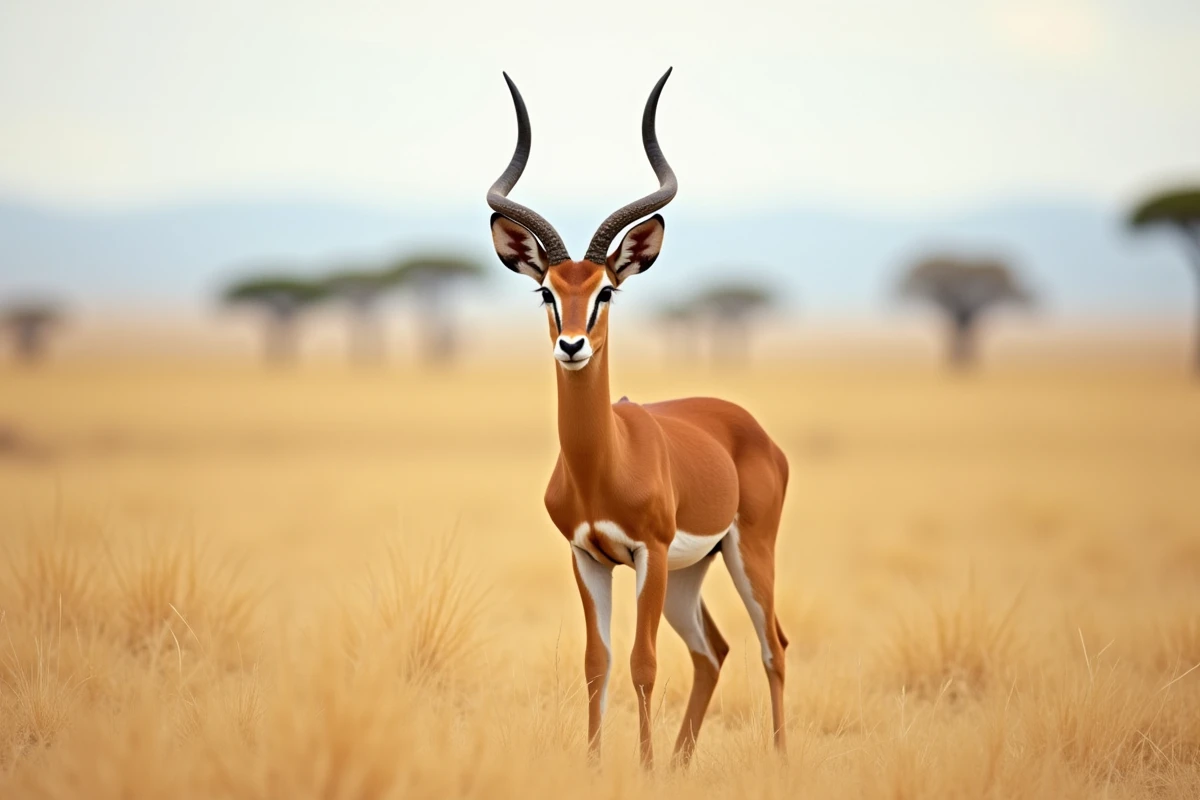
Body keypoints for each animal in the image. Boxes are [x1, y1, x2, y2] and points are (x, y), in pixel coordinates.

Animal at [487, 69, 790, 767]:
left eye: (606, 290)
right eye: (546, 291)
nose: (572, 346)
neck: (605, 463)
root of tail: (750, 427)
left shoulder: (646, 553)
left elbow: (642, 664)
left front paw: (643, 771)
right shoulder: (588, 556)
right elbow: (597, 663)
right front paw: (598, 766)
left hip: (746, 554)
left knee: (771, 647)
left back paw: (777, 759)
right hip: (689, 575)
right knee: (714, 652)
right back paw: (682, 762)